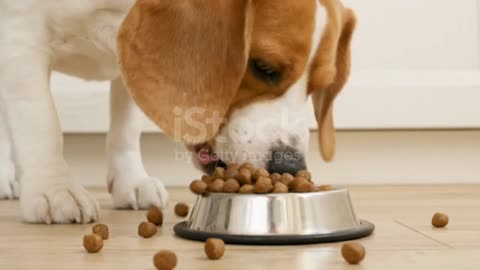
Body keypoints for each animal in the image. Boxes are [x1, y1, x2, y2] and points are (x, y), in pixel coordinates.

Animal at [0, 0, 352, 224]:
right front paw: (54, 189)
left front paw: (131, 180)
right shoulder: (20, 39)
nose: (290, 166)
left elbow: (125, 127)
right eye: (263, 67)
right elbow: (42, 124)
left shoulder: (128, 57)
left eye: (317, 86)